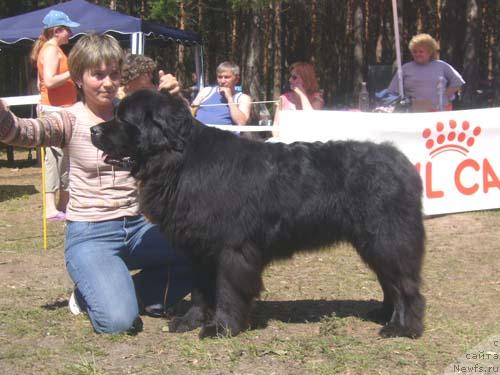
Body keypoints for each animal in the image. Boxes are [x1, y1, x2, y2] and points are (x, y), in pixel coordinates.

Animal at [91, 90, 426, 340]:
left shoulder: (231, 248)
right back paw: (383, 314)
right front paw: (191, 321)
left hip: (387, 238)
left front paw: (222, 328)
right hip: (372, 242)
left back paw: (402, 327)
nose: (94, 129)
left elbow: (227, 289)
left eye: (123, 118)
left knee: (404, 284)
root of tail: (402, 162)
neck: (180, 161)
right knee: (389, 281)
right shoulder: (200, 249)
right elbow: (200, 290)